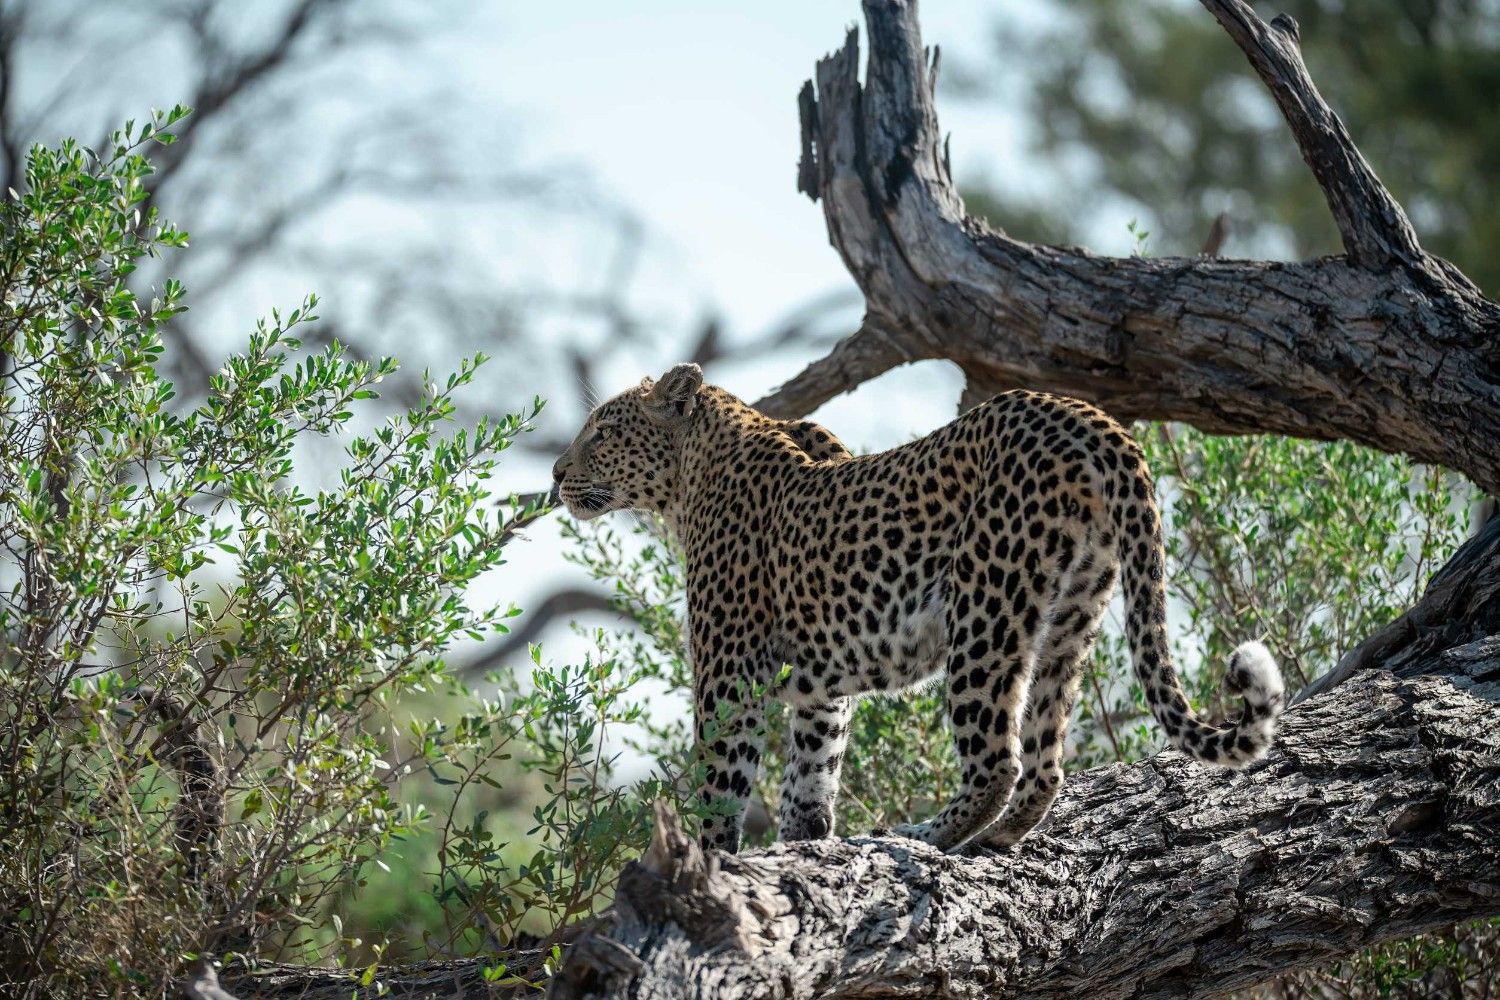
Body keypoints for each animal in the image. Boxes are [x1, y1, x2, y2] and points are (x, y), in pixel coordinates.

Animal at [551, 362, 1285, 853]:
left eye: (602, 432)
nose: (556, 473)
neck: (688, 478)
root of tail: (1093, 420)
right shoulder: (821, 689)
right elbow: (811, 778)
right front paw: (803, 844)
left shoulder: (730, 673)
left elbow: (720, 783)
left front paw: (712, 864)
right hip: (1073, 617)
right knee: (1044, 763)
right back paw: (991, 841)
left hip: (986, 606)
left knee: (997, 760)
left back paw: (923, 835)